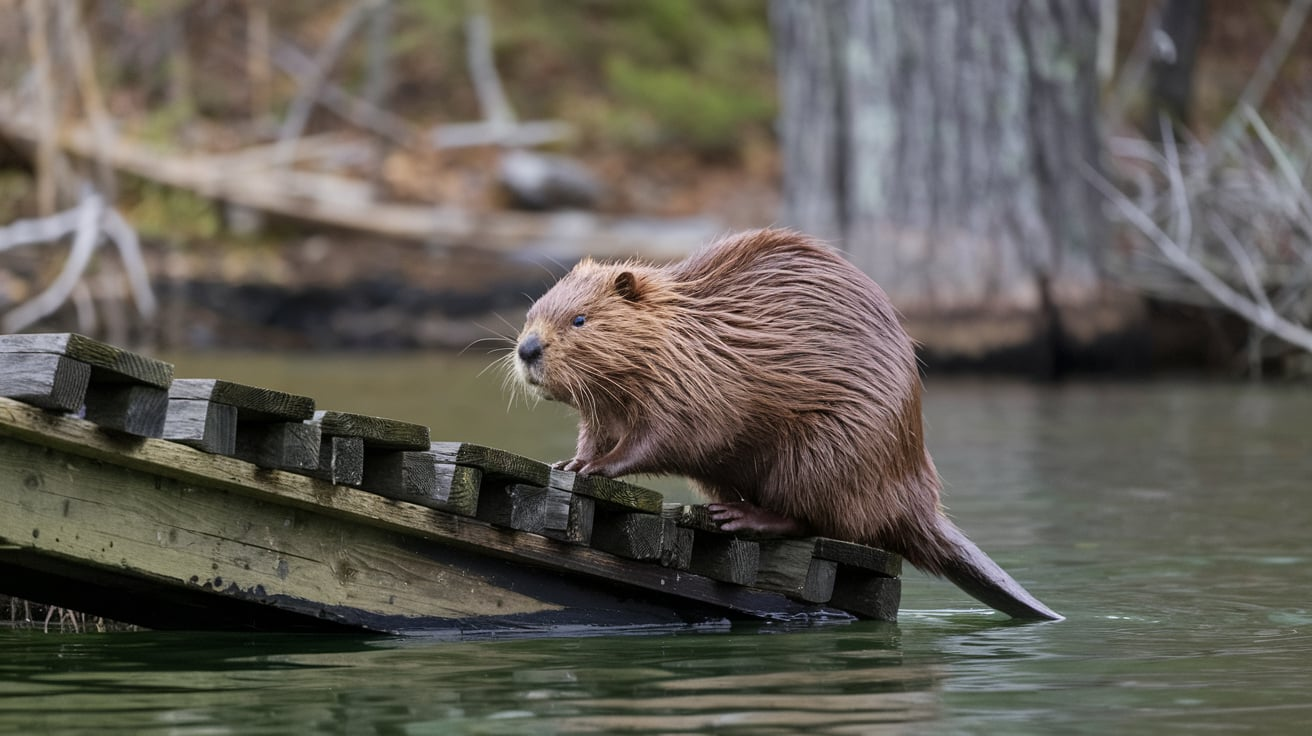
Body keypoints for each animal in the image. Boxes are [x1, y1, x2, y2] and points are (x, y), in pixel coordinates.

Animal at [506, 226, 1060, 616]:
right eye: (533, 312)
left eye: (580, 319)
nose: (528, 348)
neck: (686, 338)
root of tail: (918, 505)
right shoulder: (605, 407)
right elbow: (594, 432)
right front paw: (570, 462)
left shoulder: (696, 385)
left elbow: (668, 437)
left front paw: (596, 468)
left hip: (826, 452)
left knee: (816, 519)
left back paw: (739, 516)